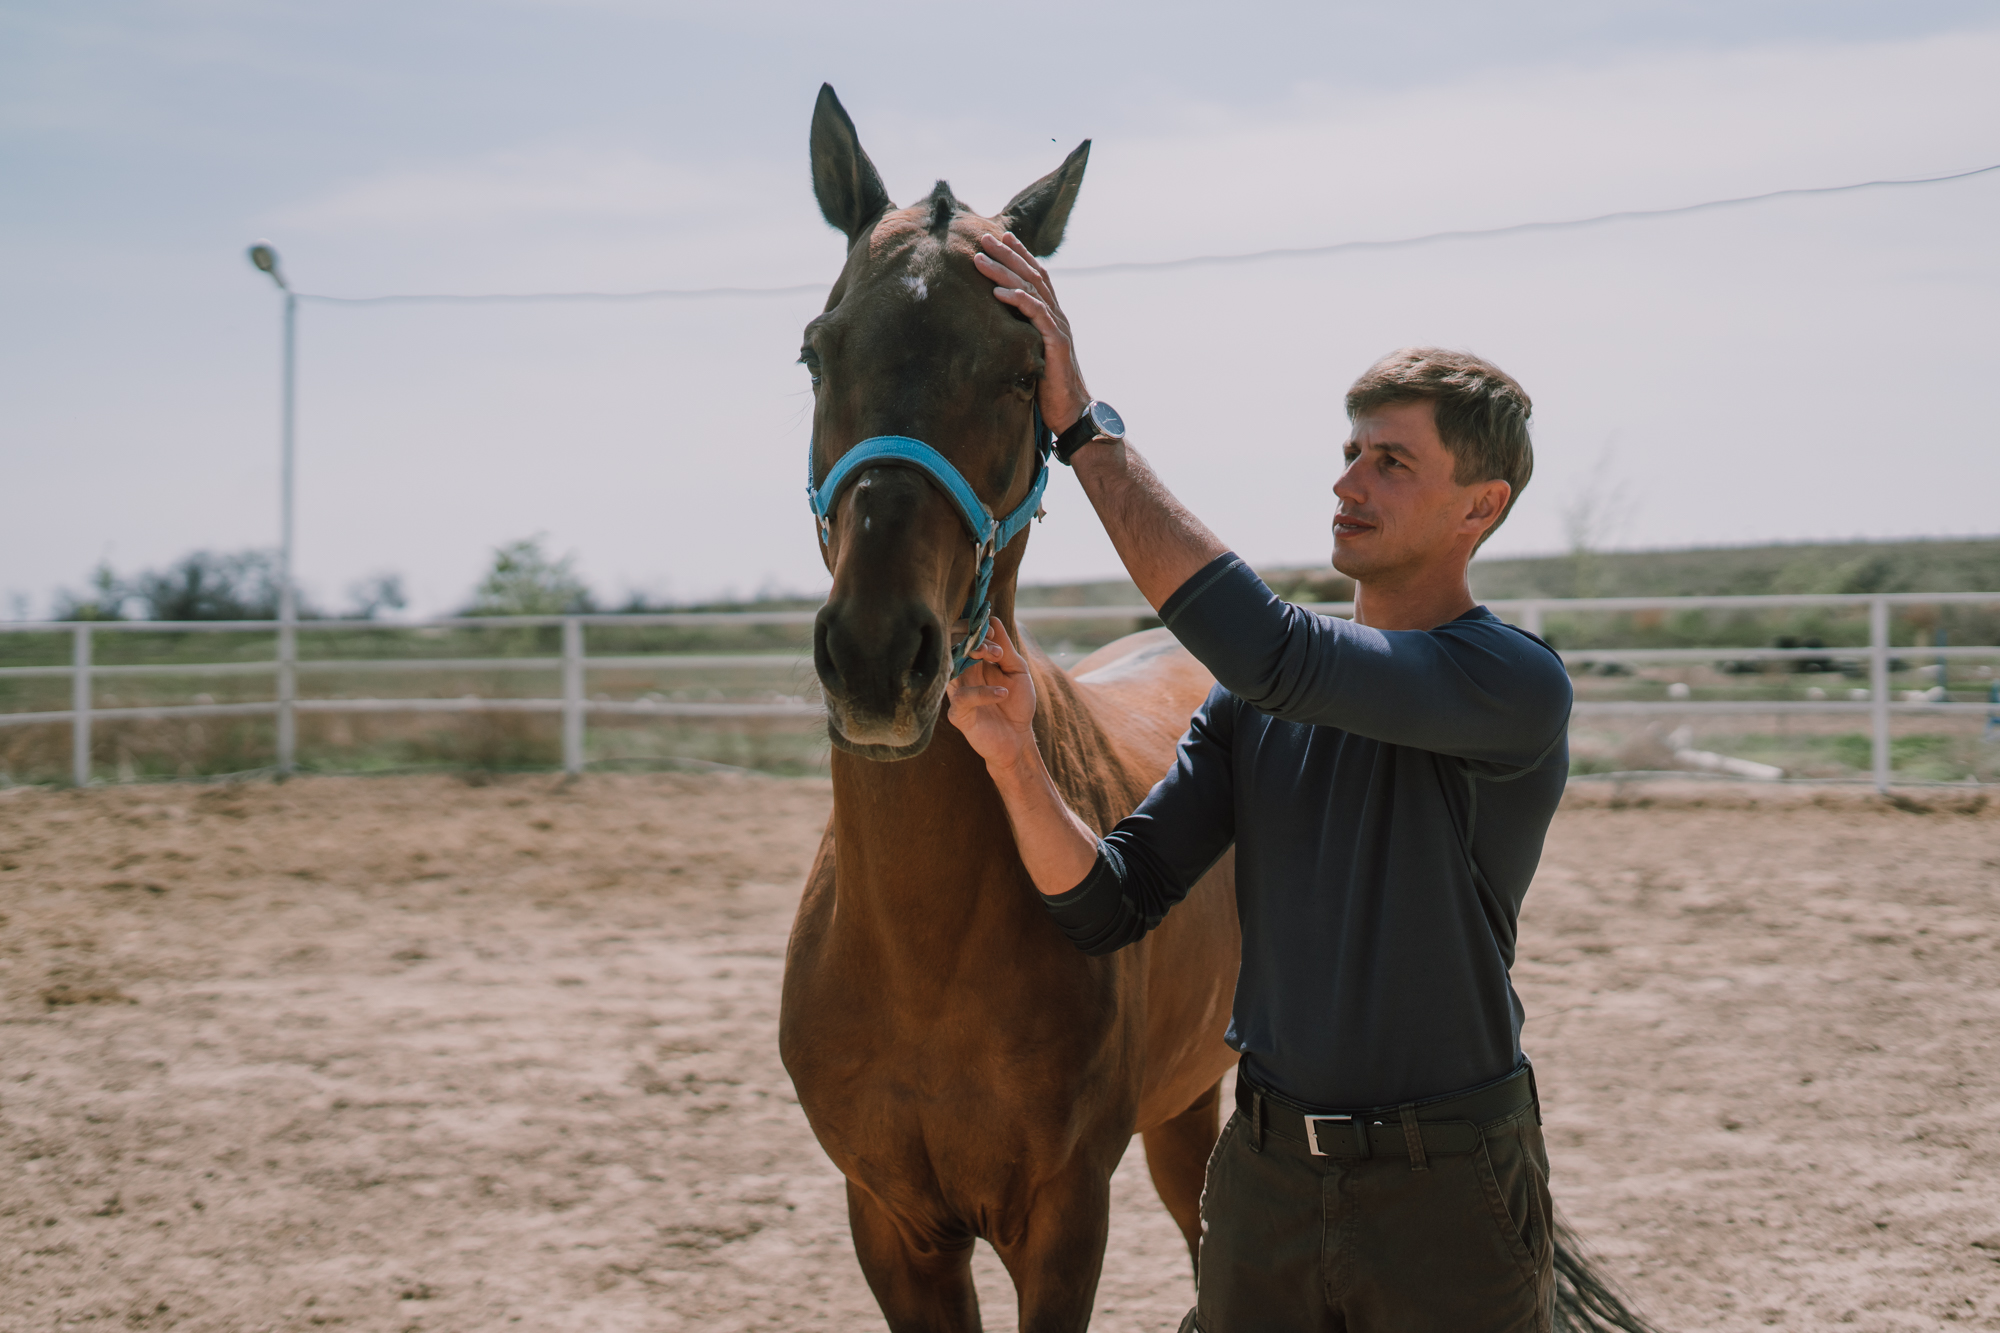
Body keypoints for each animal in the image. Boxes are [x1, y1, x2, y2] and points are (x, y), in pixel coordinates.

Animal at [776, 85, 1232, 1328]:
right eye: (816, 353)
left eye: (1025, 372)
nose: (876, 656)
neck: (922, 953)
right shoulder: (891, 1226)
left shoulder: (1063, 1218)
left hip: (1187, 1113)